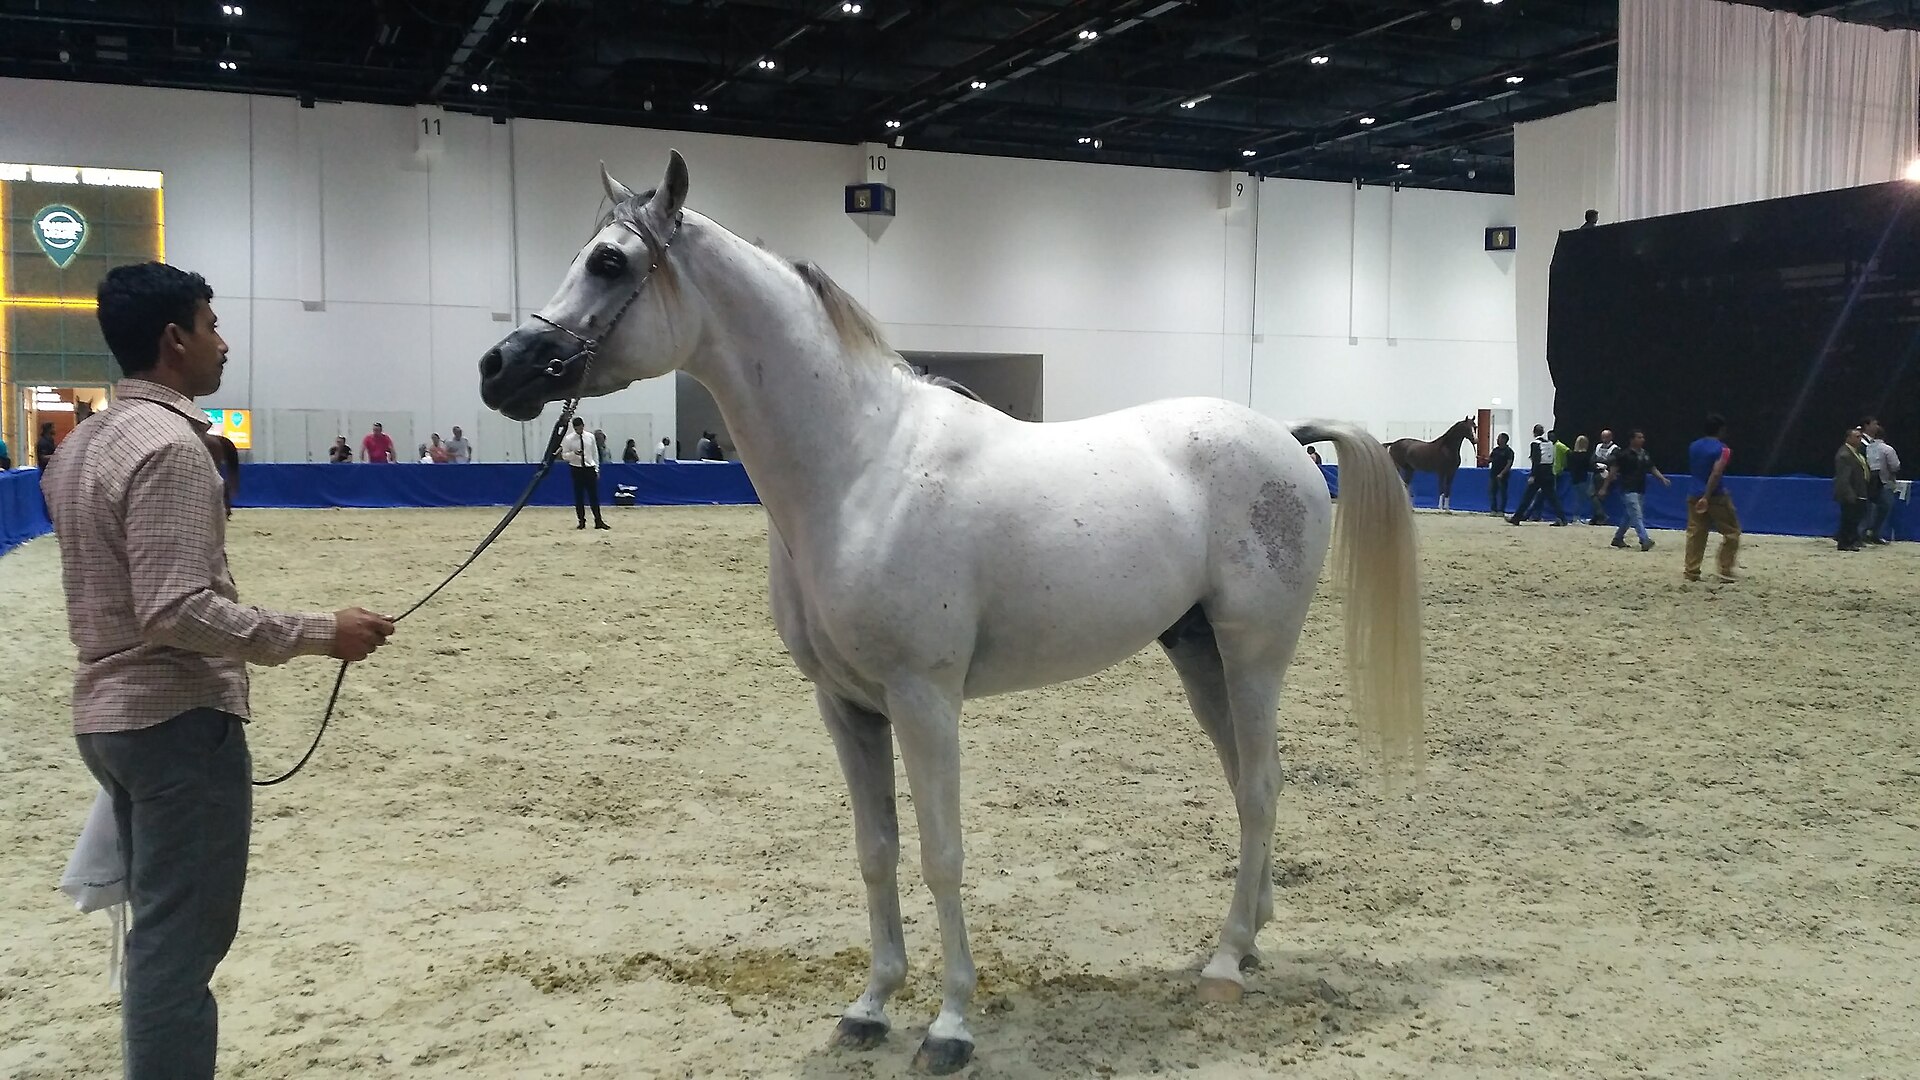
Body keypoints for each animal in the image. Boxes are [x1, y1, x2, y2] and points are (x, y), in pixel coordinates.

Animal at [478, 151, 1424, 1074]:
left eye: (610, 262)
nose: (501, 367)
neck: (862, 466)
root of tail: (1287, 440)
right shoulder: (845, 705)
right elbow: (876, 851)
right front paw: (870, 1006)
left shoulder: (923, 701)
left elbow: (941, 855)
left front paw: (951, 1025)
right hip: (1197, 655)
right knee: (1248, 781)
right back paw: (1250, 937)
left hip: (1254, 652)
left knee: (1259, 786)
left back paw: (1227, 960)